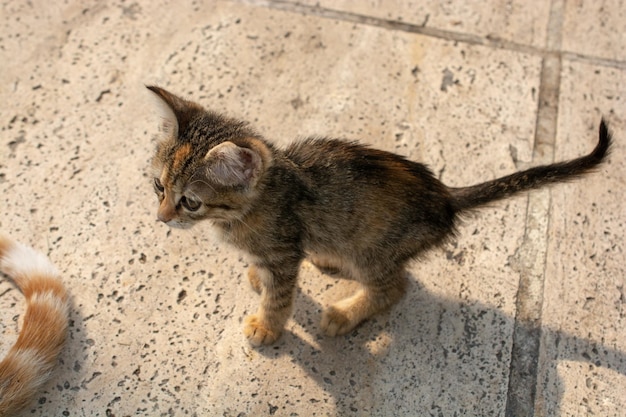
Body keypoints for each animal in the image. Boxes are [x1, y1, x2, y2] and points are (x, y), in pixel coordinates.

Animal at [146, 84, 608, 344]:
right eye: (158, 187)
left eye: (191, 201)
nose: (161, 218)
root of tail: (444, 196)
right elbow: (268, 277)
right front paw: (258, 280)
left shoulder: (284, 251)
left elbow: (281, 297)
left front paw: (267, 326)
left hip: (373, 249)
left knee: (394, 287)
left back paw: (344, 314)